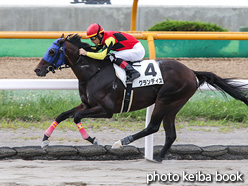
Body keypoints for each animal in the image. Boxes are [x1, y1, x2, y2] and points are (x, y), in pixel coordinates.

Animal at [34, 34, 248, 162]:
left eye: (52, 51)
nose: (37, 70)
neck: (94, 72)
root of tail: (191, 72)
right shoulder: (86, 104)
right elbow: (63, 115)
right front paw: (44, 140)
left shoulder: (107, 110)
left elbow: (77, 117)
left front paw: (92, 139)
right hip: (173, 105)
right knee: (170, 134)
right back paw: (158, 157)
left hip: (166, 100)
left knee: (153, 126)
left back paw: (122, 142)